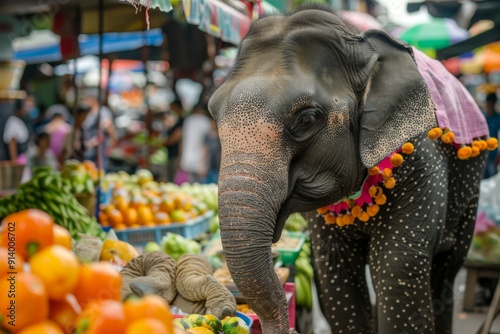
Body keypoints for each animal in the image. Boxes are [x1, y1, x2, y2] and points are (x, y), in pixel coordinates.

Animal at [207, 5, 496, 334]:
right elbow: (335, 274)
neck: (361, 43)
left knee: (445, 271)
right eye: (212, 112)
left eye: (306, 119)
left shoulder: (422, 160)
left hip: (470, 187)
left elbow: (399, 267)